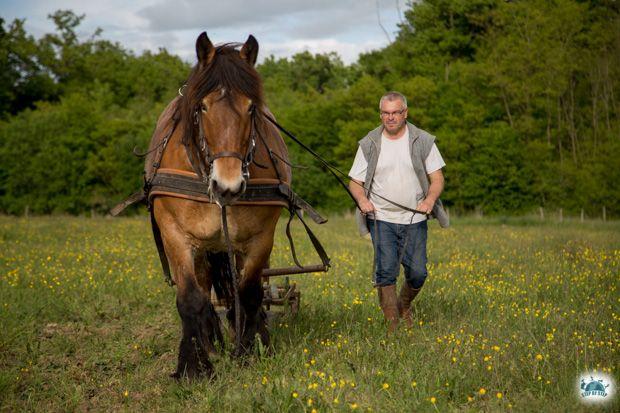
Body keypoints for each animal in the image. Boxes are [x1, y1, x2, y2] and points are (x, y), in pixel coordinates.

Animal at [147, 32, 290, 378]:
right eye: (203, 106)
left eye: (251, 108)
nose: (228, 185)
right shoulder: (175, 235)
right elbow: (190, 298)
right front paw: (193, 365)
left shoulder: (260, 238)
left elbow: (249, 293)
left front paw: (250, 350)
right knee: (203, 290)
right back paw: (210, 341)